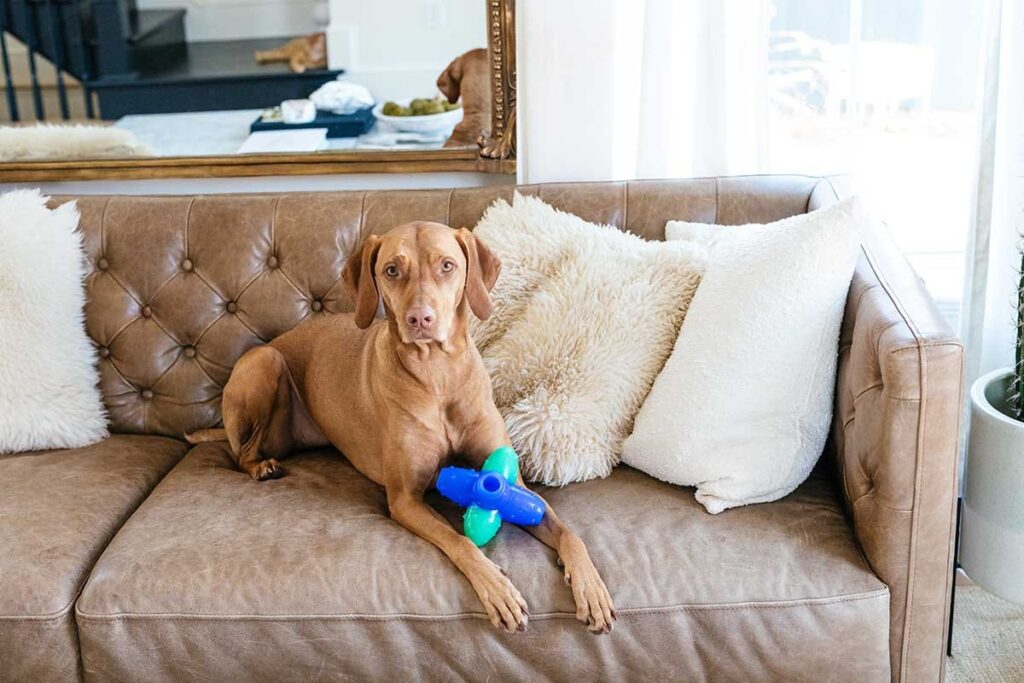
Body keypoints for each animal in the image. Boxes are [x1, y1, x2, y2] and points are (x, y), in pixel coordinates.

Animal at [188, 222, 610, 634]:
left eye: (447, 266)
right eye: (392, 270)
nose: (420, 319)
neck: (437, 373)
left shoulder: (515, 485)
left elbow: (567, 531)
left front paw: (591, 588)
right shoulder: (405, 499)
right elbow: (459, 541)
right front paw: (497, 587)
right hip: (265, 361)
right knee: (240, 451)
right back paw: (260, 466)